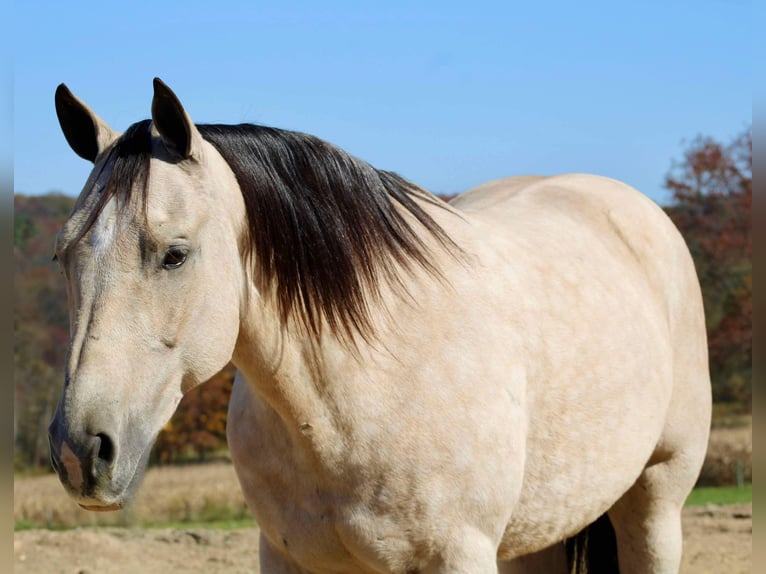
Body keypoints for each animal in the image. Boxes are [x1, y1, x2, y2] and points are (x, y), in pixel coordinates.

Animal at [49, 77, 712, 574]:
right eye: (63, 255)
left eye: (175, 254)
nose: (81, 450)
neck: (351, 395)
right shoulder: (291, 559)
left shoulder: (459, 555)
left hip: (655, 501)